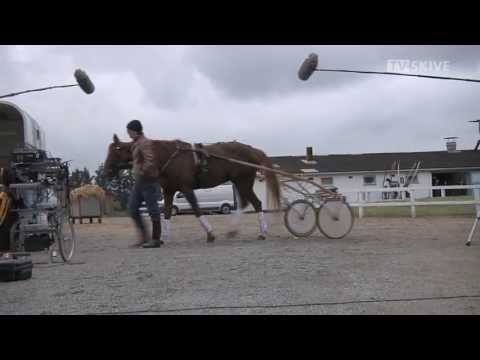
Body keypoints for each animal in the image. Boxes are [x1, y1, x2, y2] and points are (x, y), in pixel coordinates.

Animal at [104, 136, 282, 245]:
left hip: (243, 182)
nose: (106, 171)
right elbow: (166, 213)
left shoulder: (186, 189)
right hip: (239, 183)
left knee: (257, 203)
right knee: (245, 203)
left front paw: (210, 234)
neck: (168, 156)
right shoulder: (169, 191)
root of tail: (252, 150)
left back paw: (262, 233)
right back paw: (233, 231)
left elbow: (196, 209)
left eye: (116, 150)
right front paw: (163, 238)